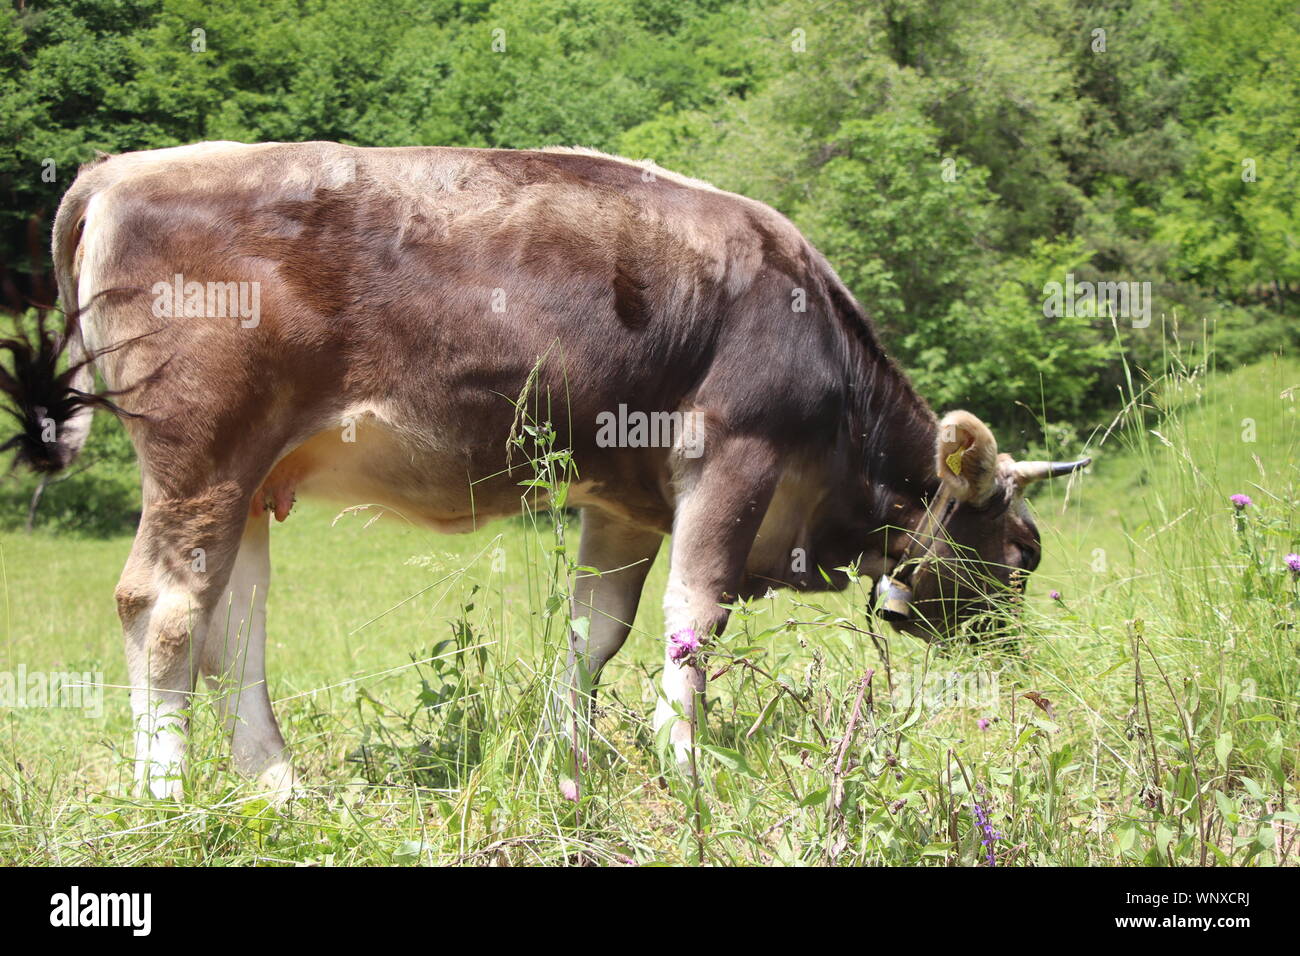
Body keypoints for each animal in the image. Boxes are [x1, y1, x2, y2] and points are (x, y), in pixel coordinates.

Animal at [0, 141, 1086, 801]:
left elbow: (592, 632)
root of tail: (123, 169)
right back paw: (165, 792)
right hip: (203, 453)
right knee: (163, 609)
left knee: (234, 624)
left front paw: (570, 755)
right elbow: (694, 619)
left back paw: (279, 785)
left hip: (253, 478)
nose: (1019, 666)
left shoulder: (626, 498)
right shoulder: (733, 455)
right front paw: (688, 766)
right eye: (1022, 550)